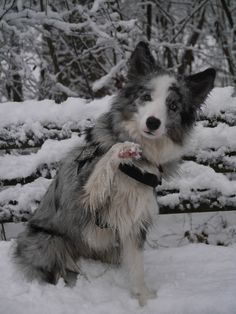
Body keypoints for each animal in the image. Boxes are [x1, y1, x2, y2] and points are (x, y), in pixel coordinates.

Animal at [13, 41, 215, 306]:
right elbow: (103, 165)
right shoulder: (85, 197)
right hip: (48, 240)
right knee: (56, 267)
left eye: (172, 106)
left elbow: (137, 266)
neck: (139, 163)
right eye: (146, 97)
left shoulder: (134, 220)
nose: (152, 122)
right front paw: (122, 149)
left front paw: (143, 298)